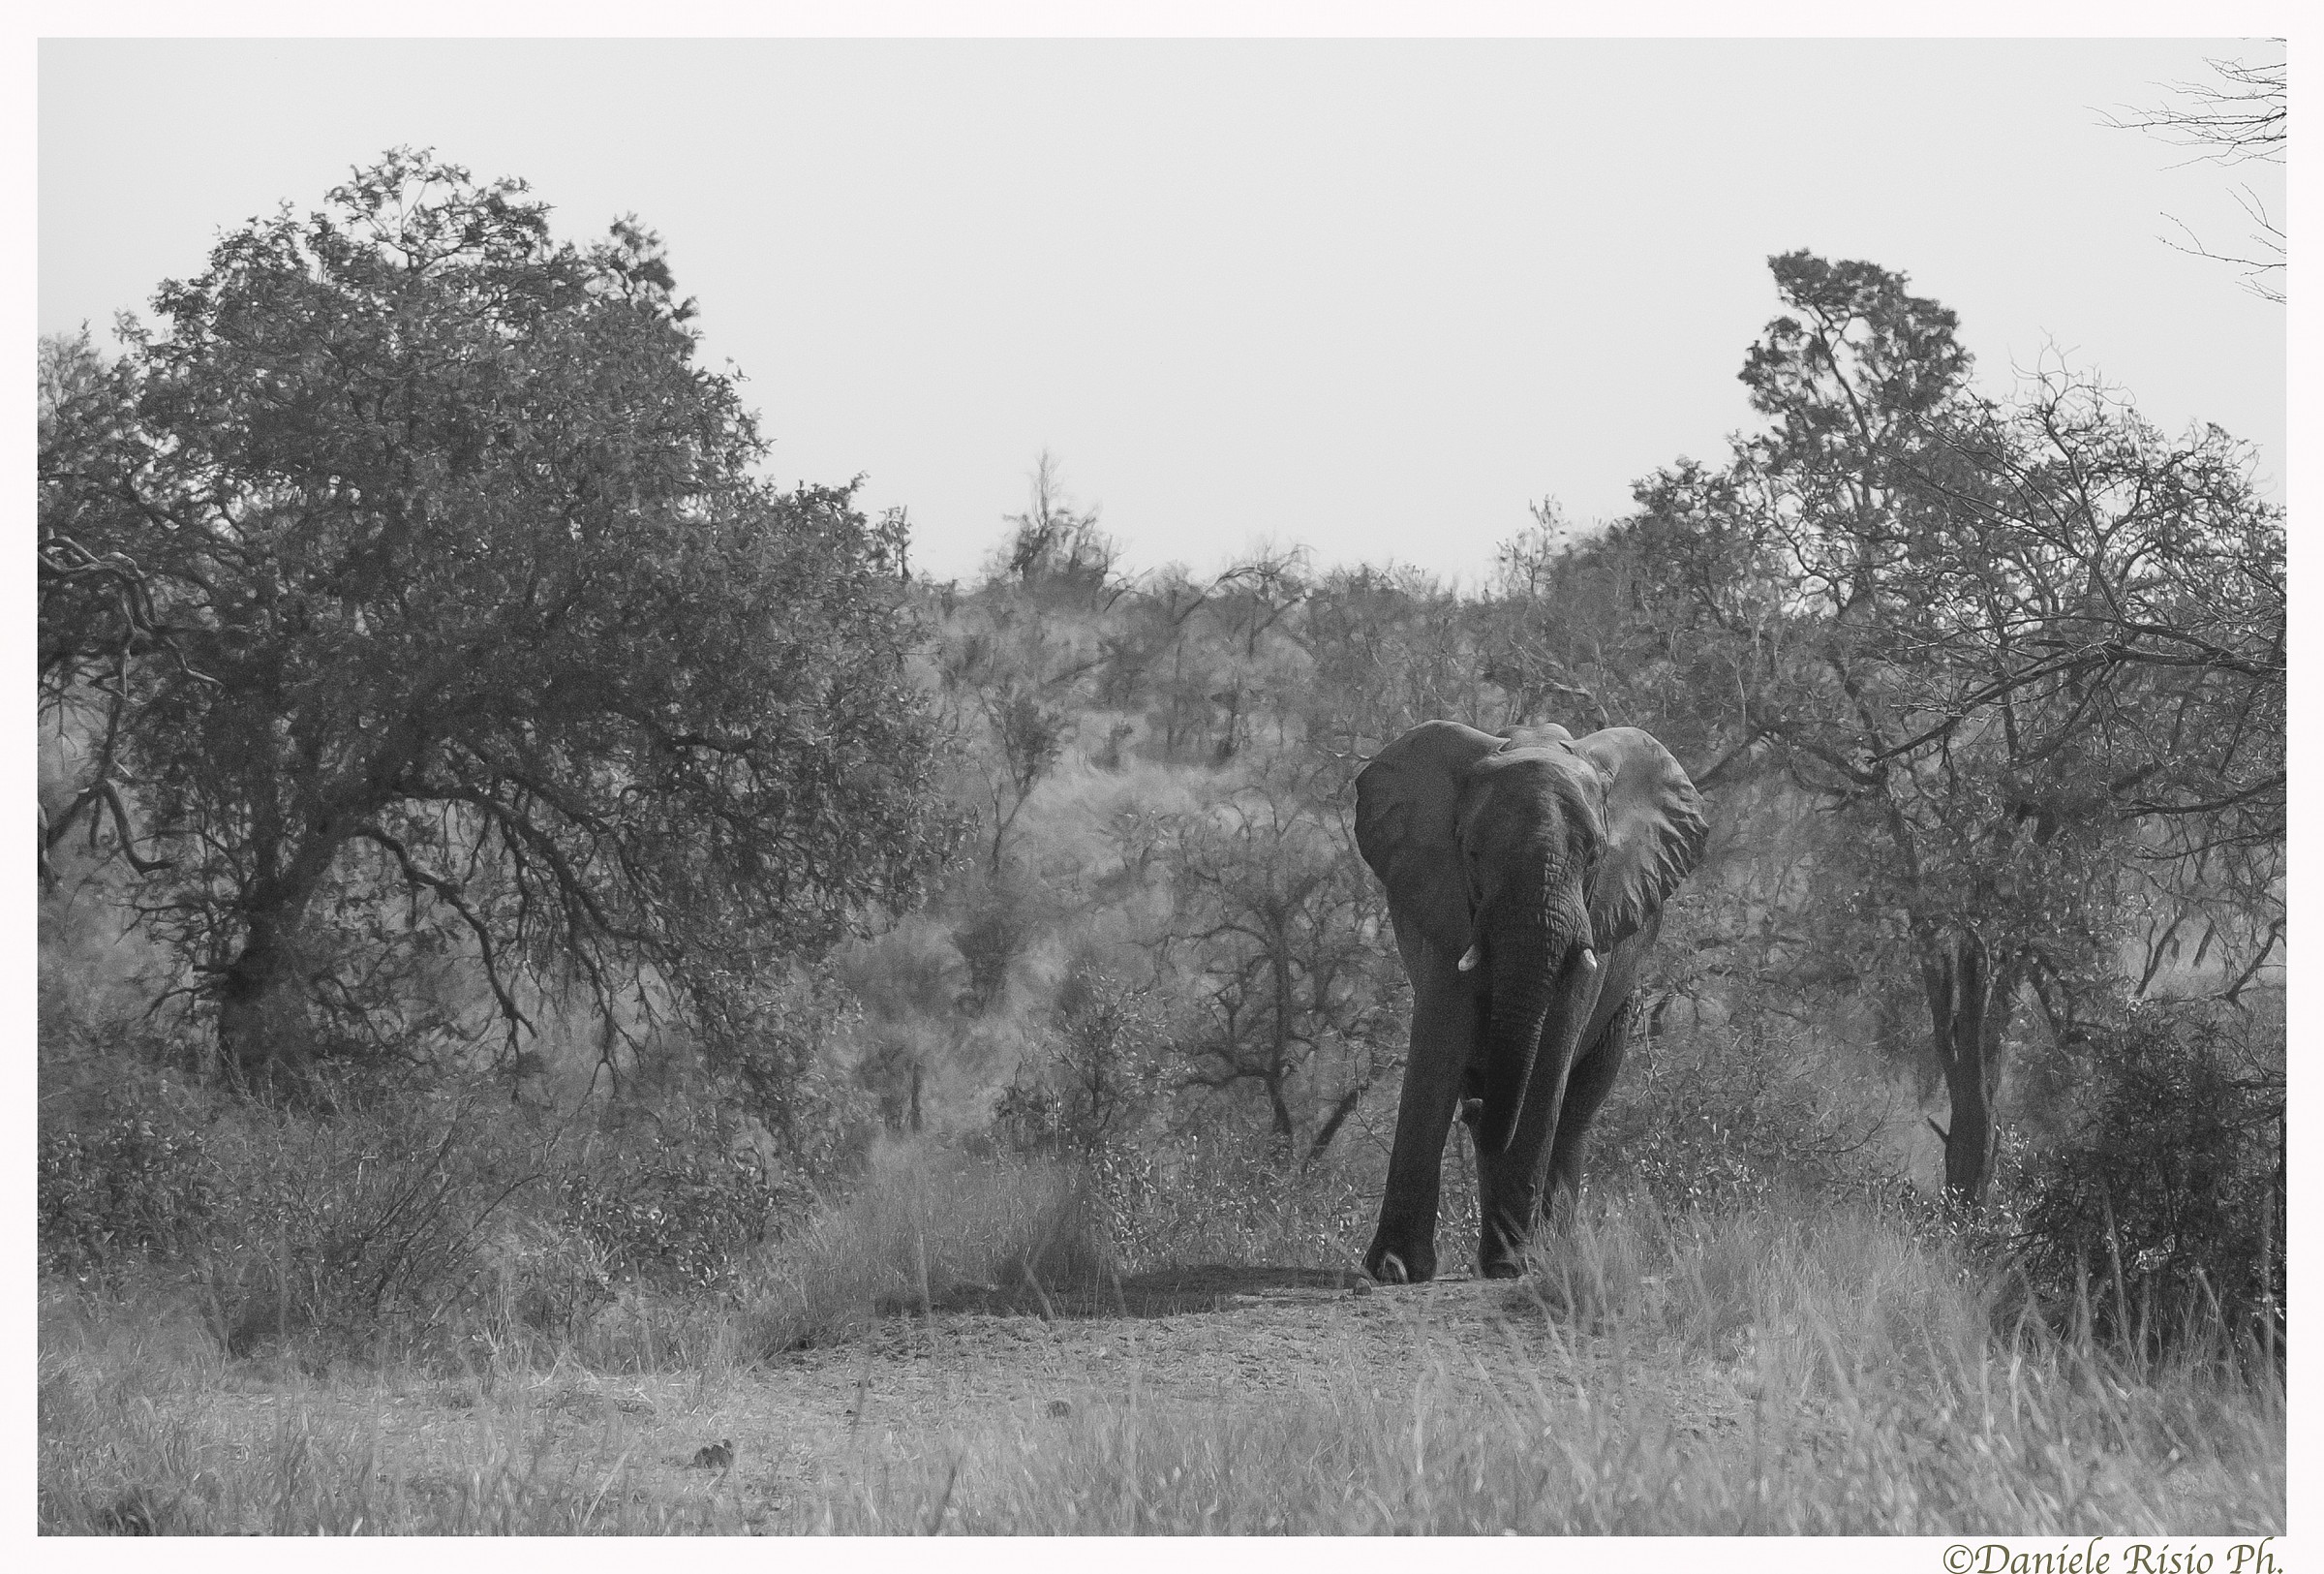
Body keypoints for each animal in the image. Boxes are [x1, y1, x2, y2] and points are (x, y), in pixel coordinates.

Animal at [1353, 719, 1707, 1282]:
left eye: (1593, 855)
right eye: (1472, 853)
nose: (1477, 1113)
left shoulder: (1597, 916)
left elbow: (1552, 1046)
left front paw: (1513, 1264)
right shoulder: (1444, 902)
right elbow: (1439, 1039)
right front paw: (1394, 1271)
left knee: (1576, 1112)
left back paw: (1548, 1251)